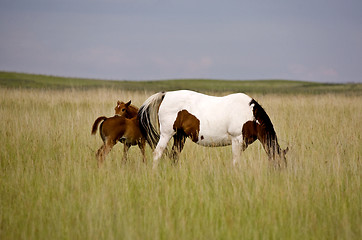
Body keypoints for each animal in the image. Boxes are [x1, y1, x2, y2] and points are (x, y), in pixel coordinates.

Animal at [139, 89, 288, 168]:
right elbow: (235, 162)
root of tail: (165, 94)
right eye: (280, 164)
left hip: (180, 136)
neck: (250, 114)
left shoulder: (243, 143)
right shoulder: (237, 140)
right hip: (167, 134)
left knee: (174, 155)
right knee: (157, 153)